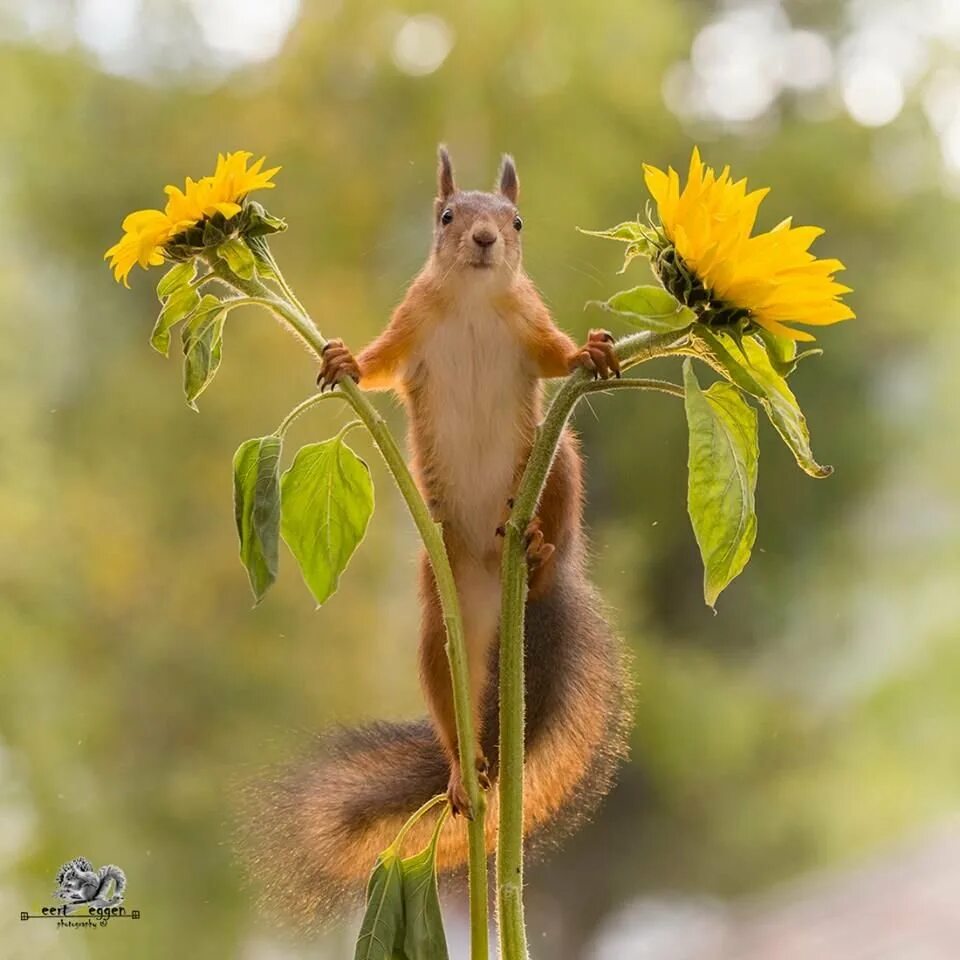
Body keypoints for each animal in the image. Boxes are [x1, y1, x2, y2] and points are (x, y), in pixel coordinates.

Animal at [249, 148, 632, 924]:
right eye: (448, 216)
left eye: (517, 221)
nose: (484, 240)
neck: (474, 303)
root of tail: (495, 575)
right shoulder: (411, 322)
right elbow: (380, 364)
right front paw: (343, 361)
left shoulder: (531, 324)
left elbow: (558, 358)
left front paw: (593, 350)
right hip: (441, 609)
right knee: (447, 687)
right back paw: (463, 769)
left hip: (556, 460)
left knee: (561, 504)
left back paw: (540, 549)